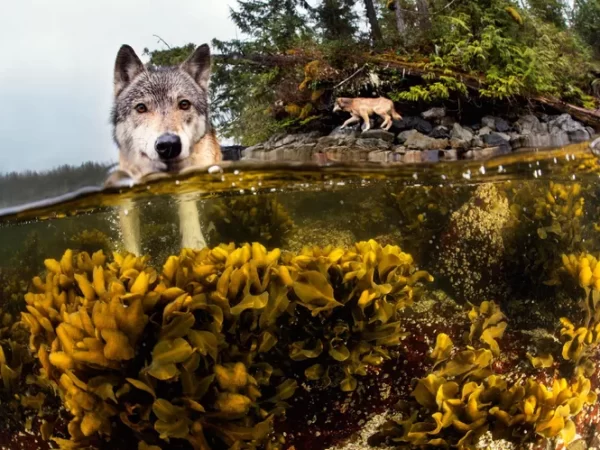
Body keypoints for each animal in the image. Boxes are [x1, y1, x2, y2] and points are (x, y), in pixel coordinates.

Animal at [106, 43, 221, 255]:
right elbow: (130, 241)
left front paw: (194, 246)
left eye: (184, 104)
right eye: (141, 108)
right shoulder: (127, 203)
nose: (168, 145)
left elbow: (188, 208)